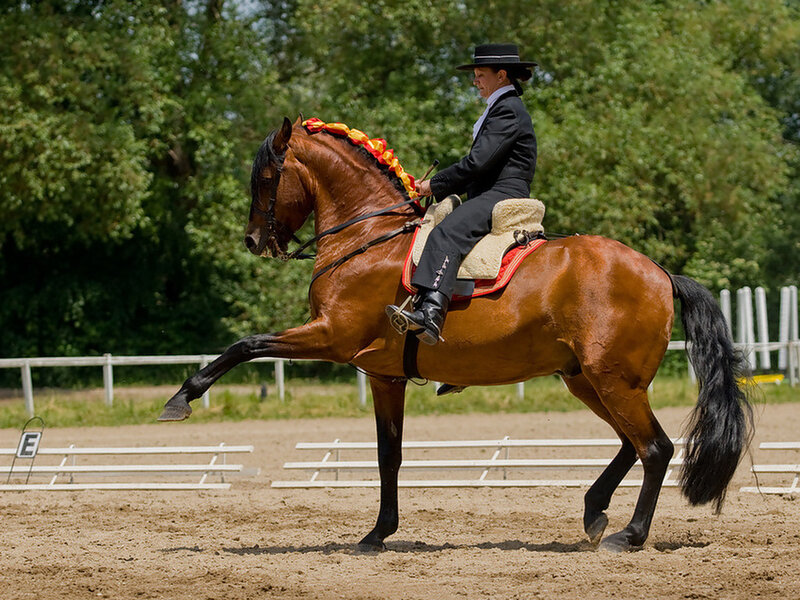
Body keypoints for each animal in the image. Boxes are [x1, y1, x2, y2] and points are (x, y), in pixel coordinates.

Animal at [159, 116, 753, 552]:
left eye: (266, 178)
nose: (254, 240)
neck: (367, 237)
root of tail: (660, 272)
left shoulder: (330, 336)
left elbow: (245, 345)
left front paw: (182, 397)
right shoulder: (384, 376)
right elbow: (389, 456)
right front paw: (377, 534)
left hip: (614, 380)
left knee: (655, 447)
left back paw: (629, 535)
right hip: (588, 379)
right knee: (633, 444)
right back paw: (594, 512)